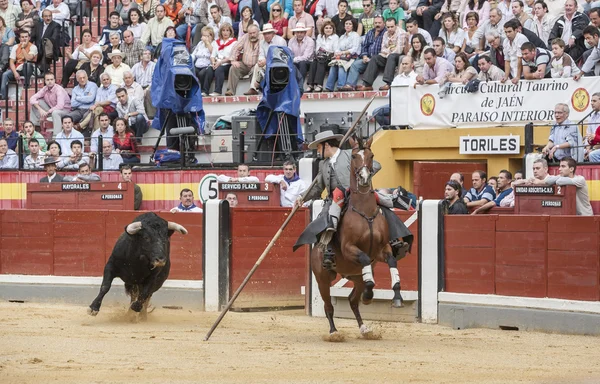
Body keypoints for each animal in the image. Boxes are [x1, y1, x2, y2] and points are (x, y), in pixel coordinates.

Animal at [310, 136, 404, 338]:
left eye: (371, 155)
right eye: (354, 156)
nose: (364, 178)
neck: (364, 212)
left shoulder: (381, 249)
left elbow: (392, 261)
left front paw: (397, 296)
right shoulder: (349, 248)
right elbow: (364, 257)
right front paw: (369, 295)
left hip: (356, 277)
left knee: (353, 301)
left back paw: (365, 328)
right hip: (322, 278)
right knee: (328, 306)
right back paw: (334, 332)